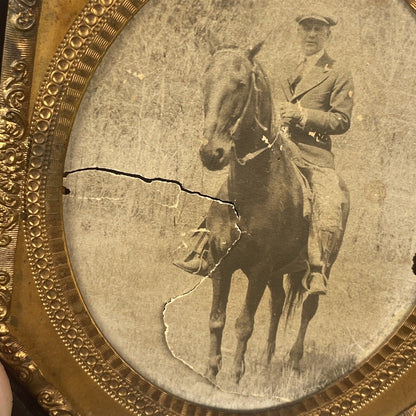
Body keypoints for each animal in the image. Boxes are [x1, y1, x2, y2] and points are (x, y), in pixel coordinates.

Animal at [197, 42, 348, 384]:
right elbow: (216, 319)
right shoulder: (222, 264)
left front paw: (234, 378)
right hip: (279, 273)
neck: (250, 193)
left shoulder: (259, 268)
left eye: (241, 84)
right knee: (277, 304)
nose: (212, 153)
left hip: (319, 268)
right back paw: (266, 363)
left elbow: (243, 324)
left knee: (307, 310)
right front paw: (210, 373)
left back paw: (293, 364)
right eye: (206, 82)